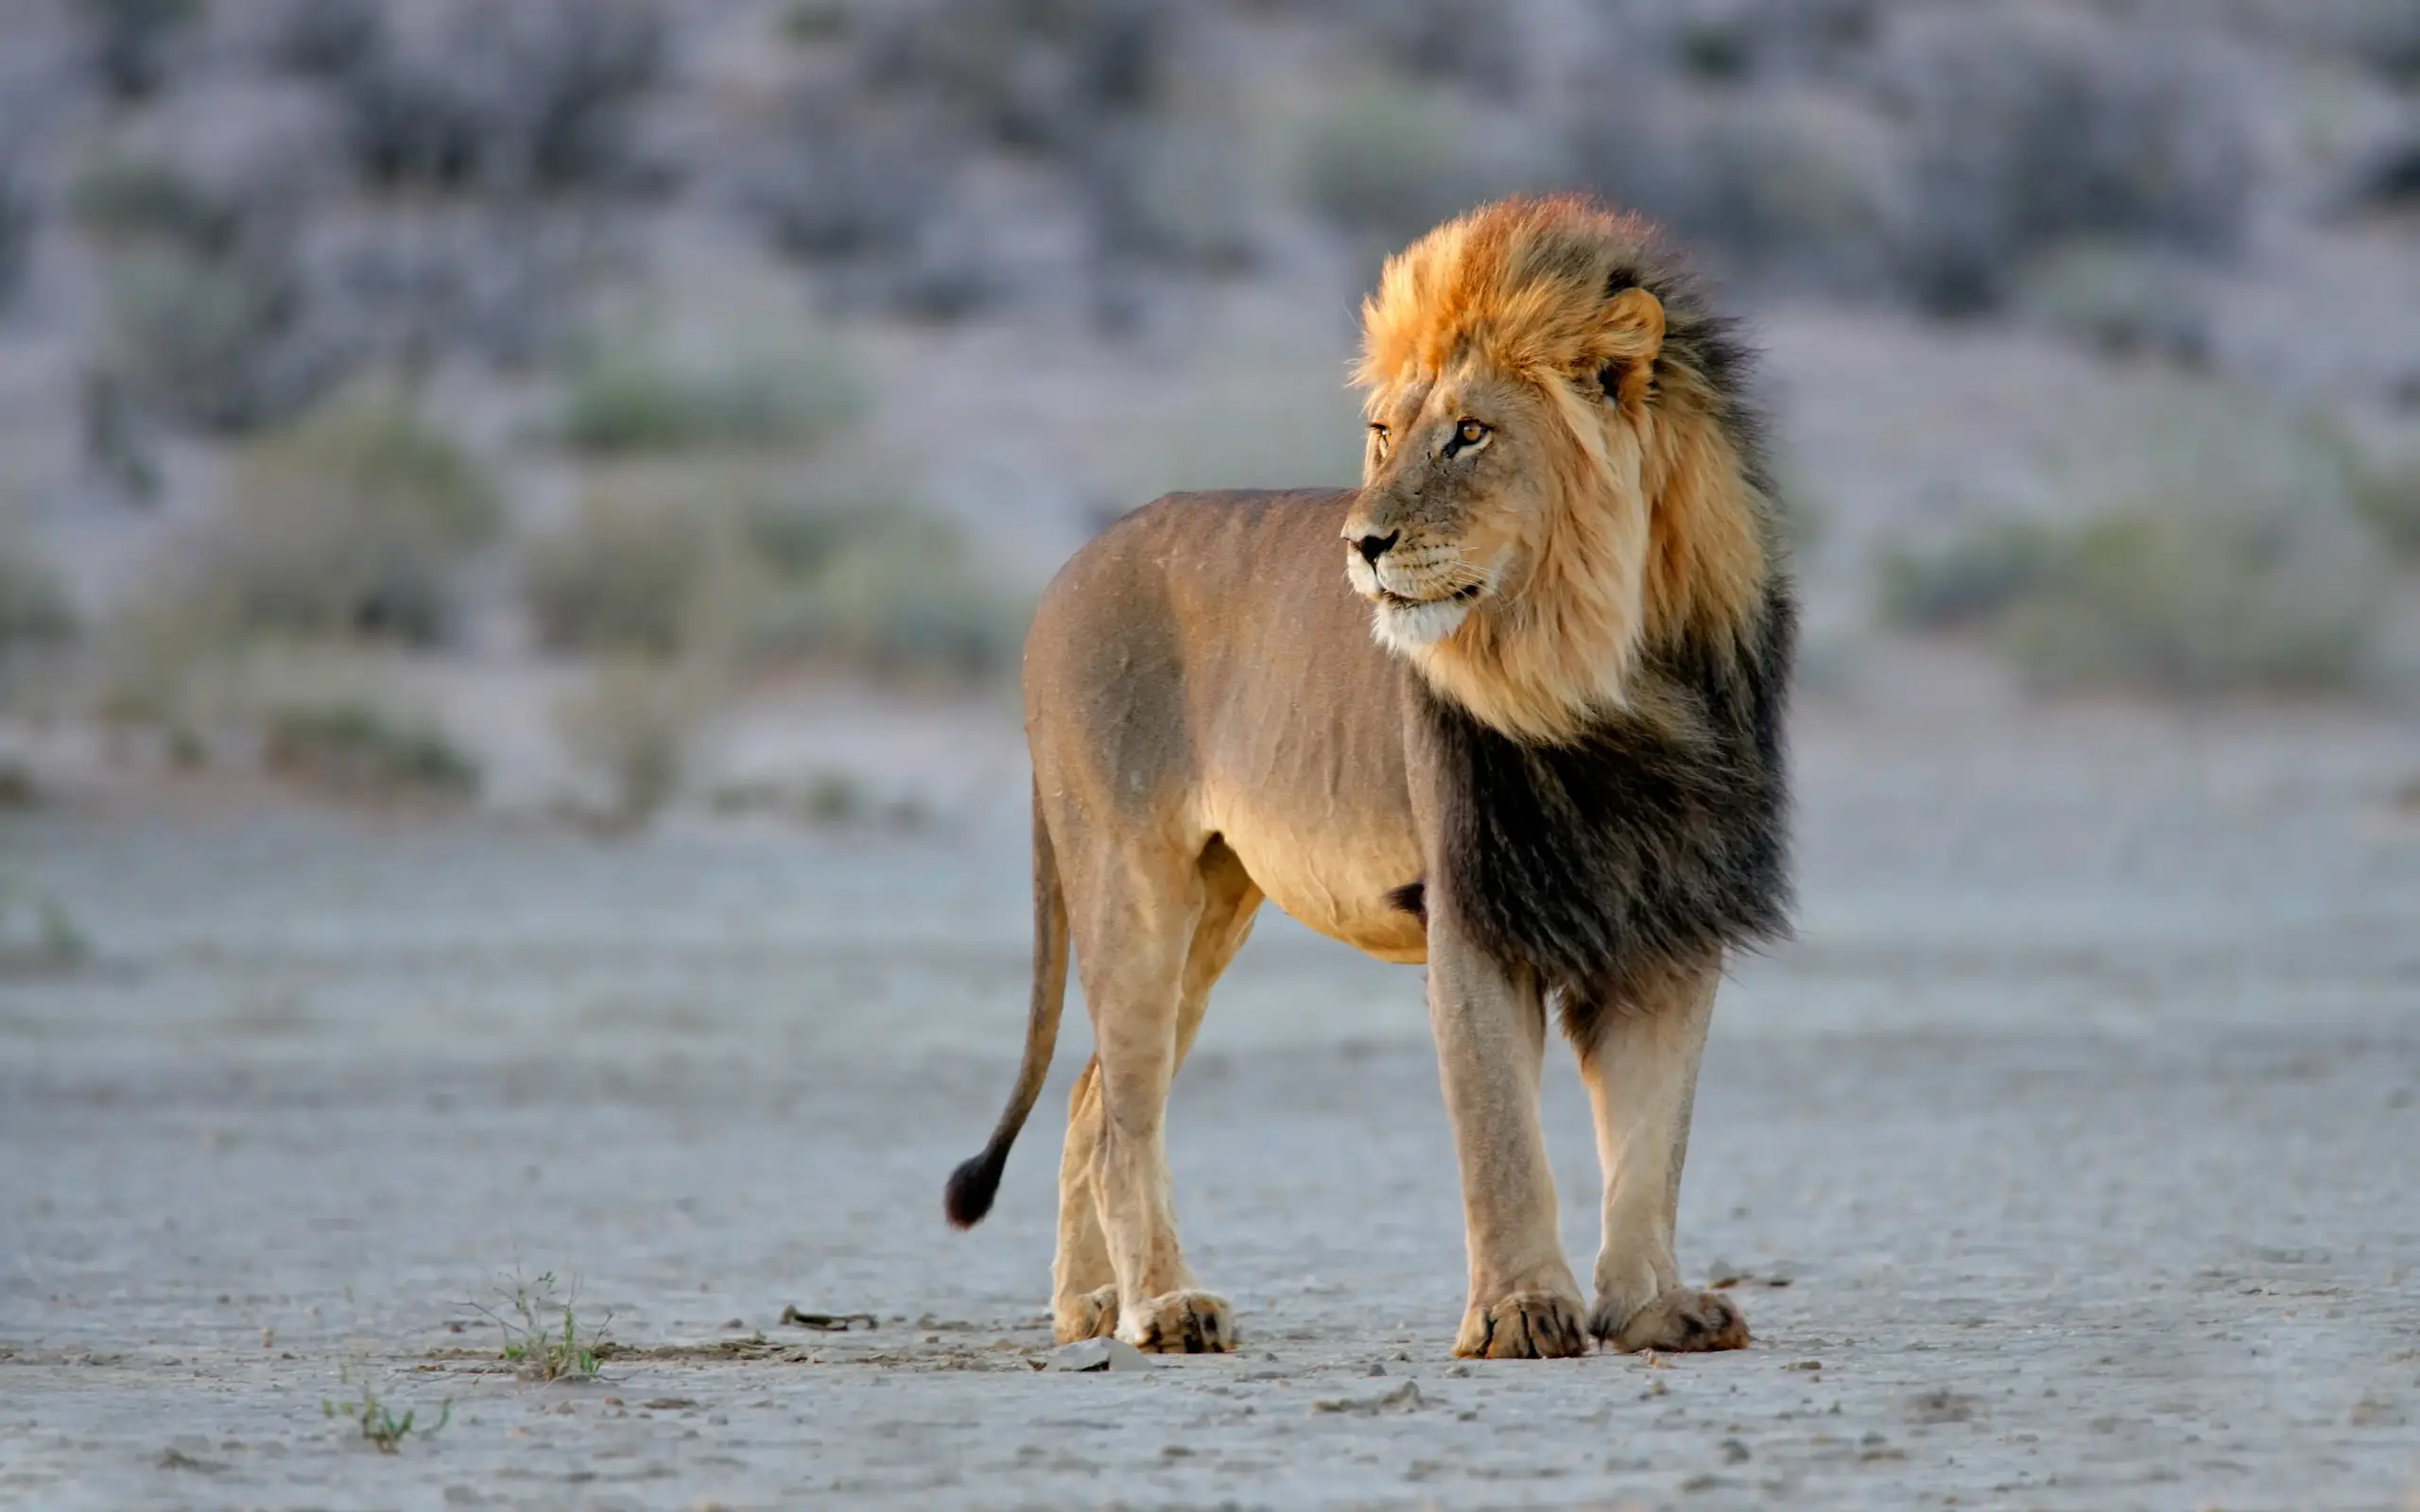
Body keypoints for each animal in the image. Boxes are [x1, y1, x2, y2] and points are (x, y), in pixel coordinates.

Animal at [944, 196, 1792, 1359]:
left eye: (1470, 433)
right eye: (1385, 434)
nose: (1361, 541)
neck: (1609, 675)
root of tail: (1067, 572)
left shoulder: (1671, 912)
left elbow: (1652, 1139)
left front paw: (1655, 1305)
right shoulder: (1473, 906)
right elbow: (1501, 1136)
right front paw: (1520, 1313)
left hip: (1215, 900)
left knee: (1090, 1095)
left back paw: (1089, 1309)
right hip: (1133, 880)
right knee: (1123, 1115)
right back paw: (1166, 1307)